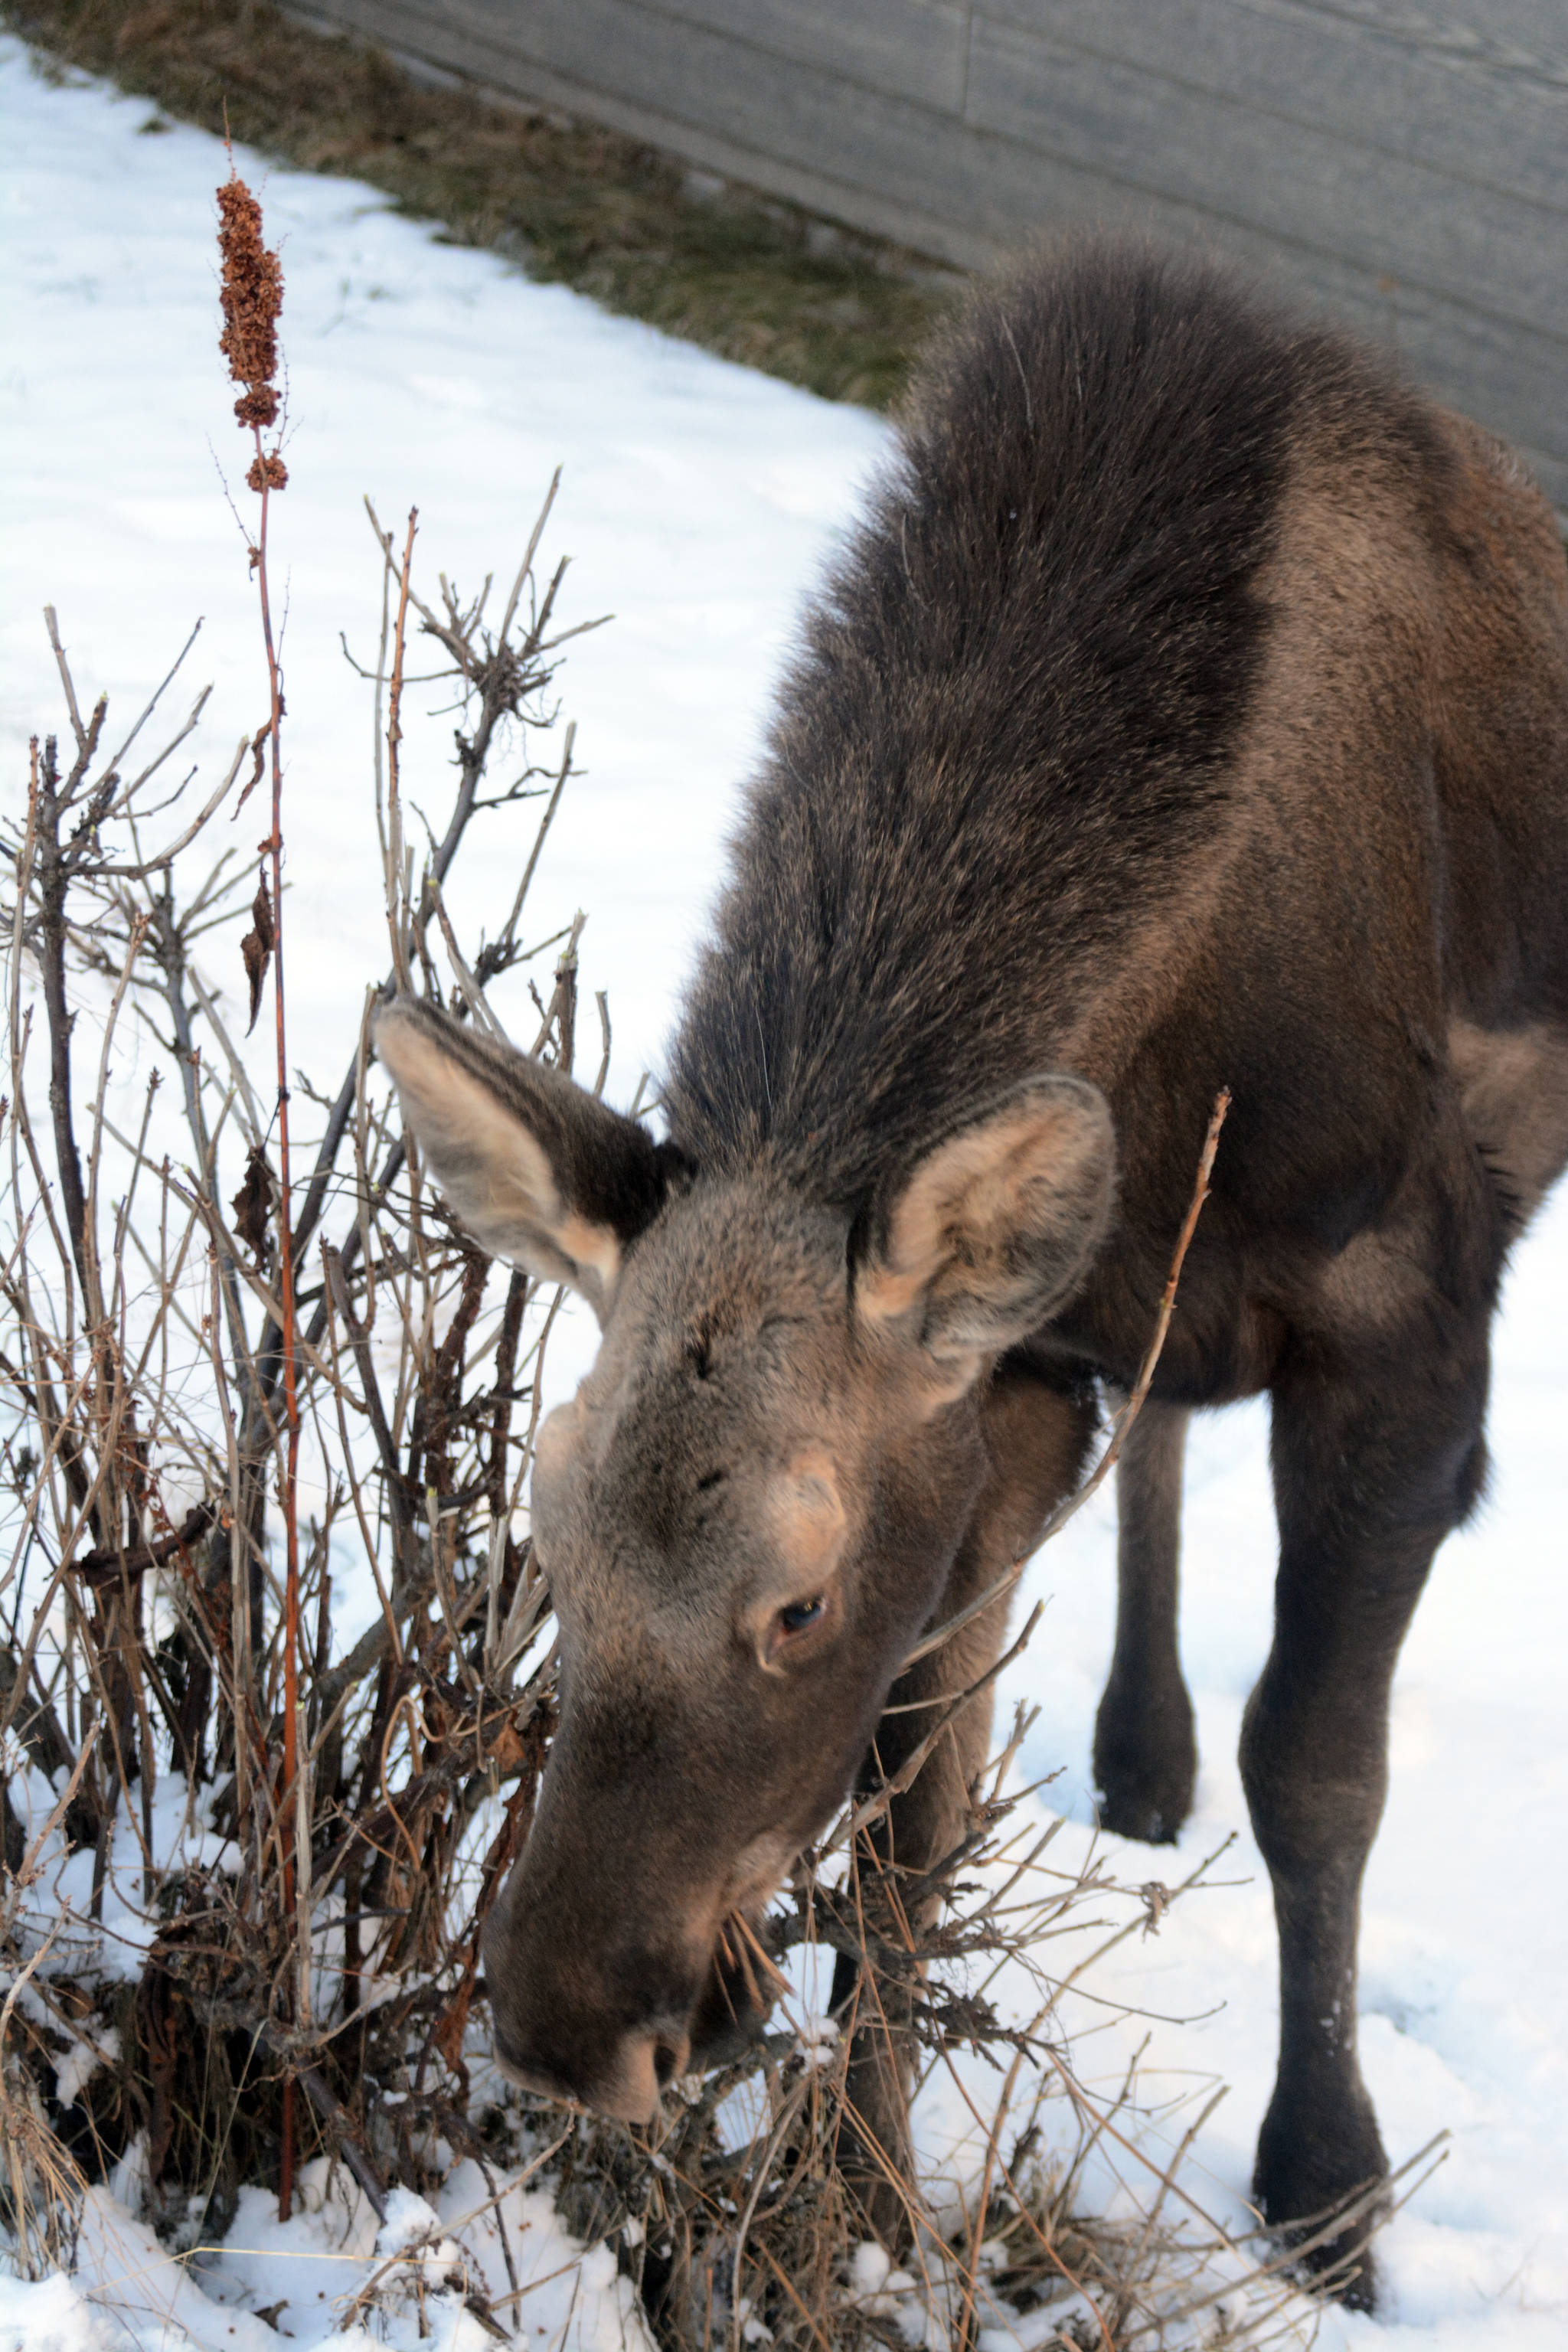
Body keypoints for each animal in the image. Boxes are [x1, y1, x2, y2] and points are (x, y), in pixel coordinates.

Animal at [376, 248, 1568, 2305]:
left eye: (795, 1600)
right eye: (544, 1531)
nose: (559, 2023)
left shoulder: (1405, 1316)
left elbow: (1317, 1769)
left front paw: (1328, 2186)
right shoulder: (1017, 1366)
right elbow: (905, 1826)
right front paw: (858, 2200)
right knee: (1163, 1434)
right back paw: (1138, 1747)